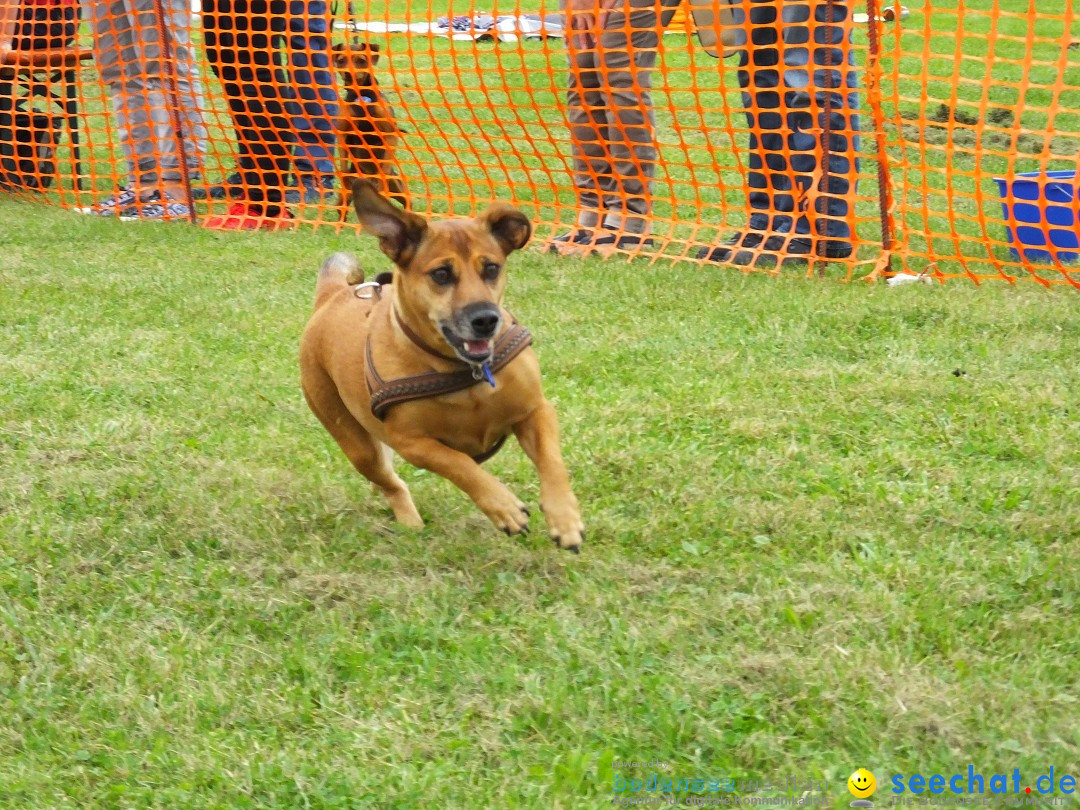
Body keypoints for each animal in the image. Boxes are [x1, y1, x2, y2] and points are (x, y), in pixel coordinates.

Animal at [298, 183, 583, 552]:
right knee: (391, 483)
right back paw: (410, 523)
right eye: (442, 274)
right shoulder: (412, 443)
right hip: (355, 442)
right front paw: (504, 507)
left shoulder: (535, 411)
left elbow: (552, 462)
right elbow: (460, 465)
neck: (463, 371)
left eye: (491, 268)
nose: (486, 319)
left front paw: (566, 520)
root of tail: (333, 296)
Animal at [330, 41, 406, 213]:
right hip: (344, 199)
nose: (348, 74)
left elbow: (385, 167)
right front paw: (345, 175)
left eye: (361, 60)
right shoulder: (342, 135)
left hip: (396, 186)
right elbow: (343, 163)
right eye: (341, 60)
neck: (361, 96)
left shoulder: (390, 135)